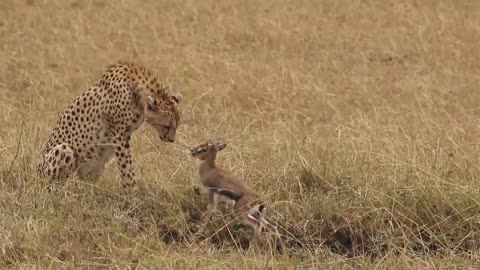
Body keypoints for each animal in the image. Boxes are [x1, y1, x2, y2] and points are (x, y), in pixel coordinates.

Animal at [37, 62, 182, 191]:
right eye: (167, 126)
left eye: (177, 126)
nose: (171, 140)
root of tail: (35, 172)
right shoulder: (118, 134)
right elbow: (126, 167)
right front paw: (131, 193)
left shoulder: (125, 135)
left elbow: (129, 166)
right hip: (63, 150)